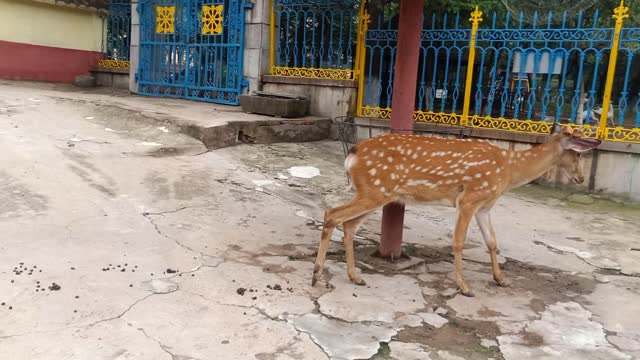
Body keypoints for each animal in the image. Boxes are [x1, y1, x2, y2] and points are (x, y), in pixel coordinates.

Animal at [312, 124, 604, 296]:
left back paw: (355, 277)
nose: (580, 178)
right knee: (332, 214)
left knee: (348, 223)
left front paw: (501, 279)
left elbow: (492, 242)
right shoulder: (469, 198)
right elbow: (459, 242)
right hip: (375, 189)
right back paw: (317, 275)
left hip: (379, 193)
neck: (509, 170)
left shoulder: (485, 205)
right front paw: (463, 286)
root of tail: (353, 152)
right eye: (578, 154)